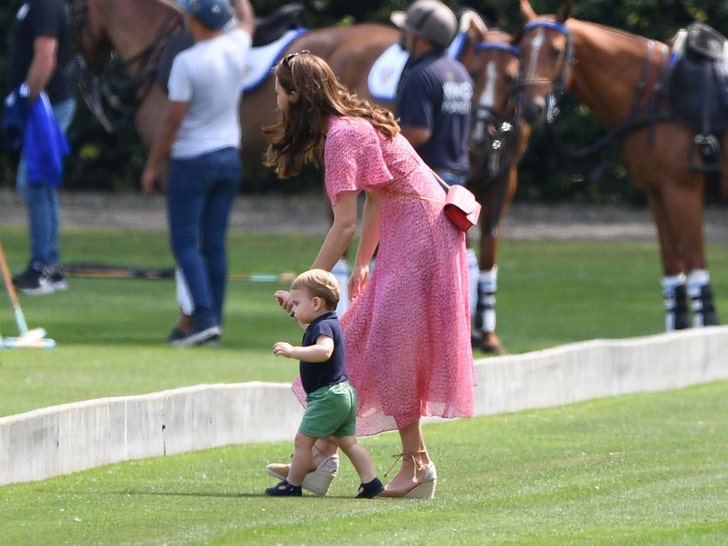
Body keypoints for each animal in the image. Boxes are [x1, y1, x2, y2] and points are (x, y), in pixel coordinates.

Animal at [516, 0, 724, 330]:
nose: (530, 108)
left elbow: (700, 285)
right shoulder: (658, 193)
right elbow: (675, 282)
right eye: (522, 50)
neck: (657, 93)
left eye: (556, 50)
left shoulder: (683, 192)